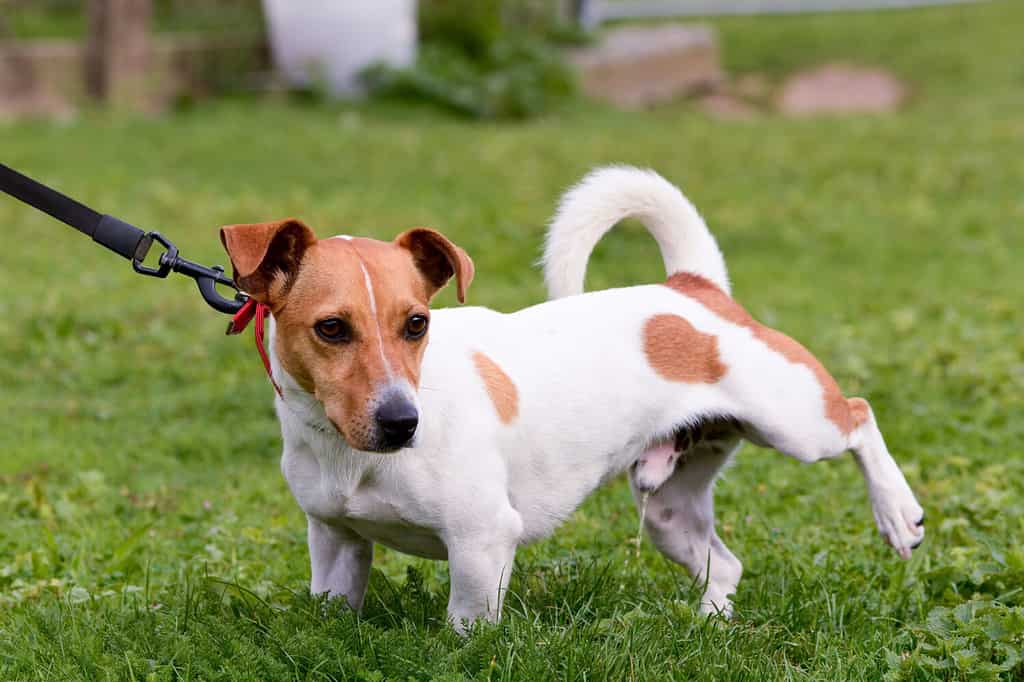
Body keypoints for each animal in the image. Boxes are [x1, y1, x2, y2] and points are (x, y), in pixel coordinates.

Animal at [220, 166, 925, 630]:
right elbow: (333, 609)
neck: (348, 454)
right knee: (724, 567)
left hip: (796, 423)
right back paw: (709, 628)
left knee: (859, 416)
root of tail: (692, 288)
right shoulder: (335, 541)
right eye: (331, 328)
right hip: (670, 511)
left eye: (417, 323)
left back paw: (897, 512)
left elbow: (466, 627)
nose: (402, 423)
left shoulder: (482, 542)